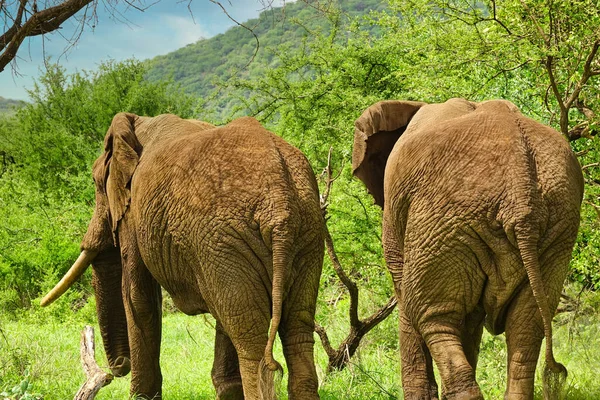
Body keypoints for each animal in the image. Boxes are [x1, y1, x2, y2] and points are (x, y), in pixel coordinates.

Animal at [41, 112, 324, 400]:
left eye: (96, 184)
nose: (117, 367)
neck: (136, 125)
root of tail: (279, 202)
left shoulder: (134, 215)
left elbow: (137, 297)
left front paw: (140, 397)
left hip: (227, 238)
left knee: (250, 340)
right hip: (303, 233)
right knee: (297, 329)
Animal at [352, 97, 580, 400]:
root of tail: (521, 190)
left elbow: (404, 294)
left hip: (443, 218)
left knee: (432, 315)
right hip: (555, 227)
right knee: (525, 324)